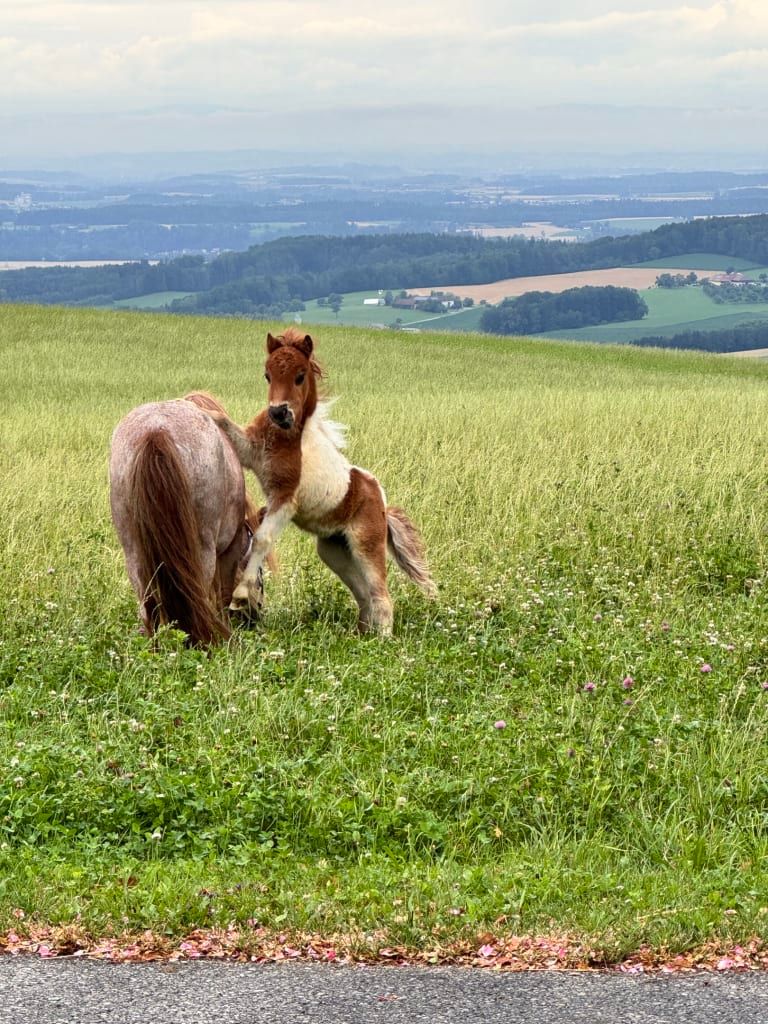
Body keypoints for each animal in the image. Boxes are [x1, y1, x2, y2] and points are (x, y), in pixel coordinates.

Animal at [109, 391, 264, 646]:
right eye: (259, 569)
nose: (257, 612)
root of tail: (156, 431)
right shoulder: (229, 549)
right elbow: (222, 596)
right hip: (203, 550)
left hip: (133, 550)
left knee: (148, 605)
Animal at [203, 328, 436, 635]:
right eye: (267, 375)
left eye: (300, 375)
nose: (278, 413)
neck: (288, 437)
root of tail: (381, 500)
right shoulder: (250, 451)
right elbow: (222, 421)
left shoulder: (285, 499)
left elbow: (263, 540)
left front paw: (240, 597)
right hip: (334, 551)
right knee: (364, 594)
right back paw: (362, 636)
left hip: (366, 545)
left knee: (382, 595)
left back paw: (384, 639)